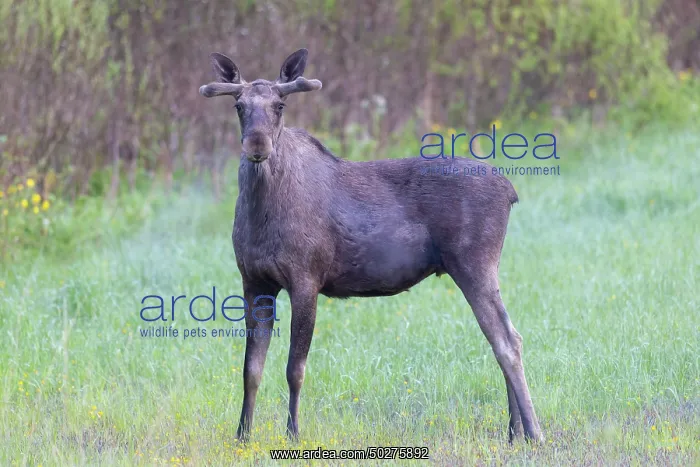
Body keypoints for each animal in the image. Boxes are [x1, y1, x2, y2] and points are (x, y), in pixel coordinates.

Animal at [198, 48, 544, 443]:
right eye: (239, 105)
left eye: (280, 105)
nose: (257, 145)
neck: (261, 213)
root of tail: (511, 193)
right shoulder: (254, 283)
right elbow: (250, 370)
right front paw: (242, 435)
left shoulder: (306, 279)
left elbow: (294, 369)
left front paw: (293, 433)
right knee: (500, 338)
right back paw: (514, 432)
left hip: (474, 265)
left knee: (508, 340)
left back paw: (534, 432)